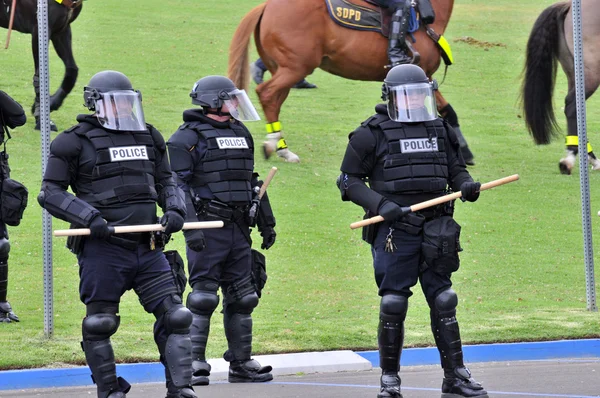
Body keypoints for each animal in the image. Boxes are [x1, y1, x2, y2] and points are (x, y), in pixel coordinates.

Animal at [0, 0, 82, 130]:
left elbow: (72, 70)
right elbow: (40, 77)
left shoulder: (61, 29)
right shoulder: (39, 30)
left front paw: (52, 104)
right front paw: (40, 117)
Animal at [230, 0, 474, 163]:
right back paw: (274, 145)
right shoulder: (418, 74)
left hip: (283, 69)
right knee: (267, 94)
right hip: (294, 68)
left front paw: (463, 149)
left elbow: (447, 109)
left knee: (274, 101)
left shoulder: (421, 76)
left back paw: (282, 148)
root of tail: (266, 6)